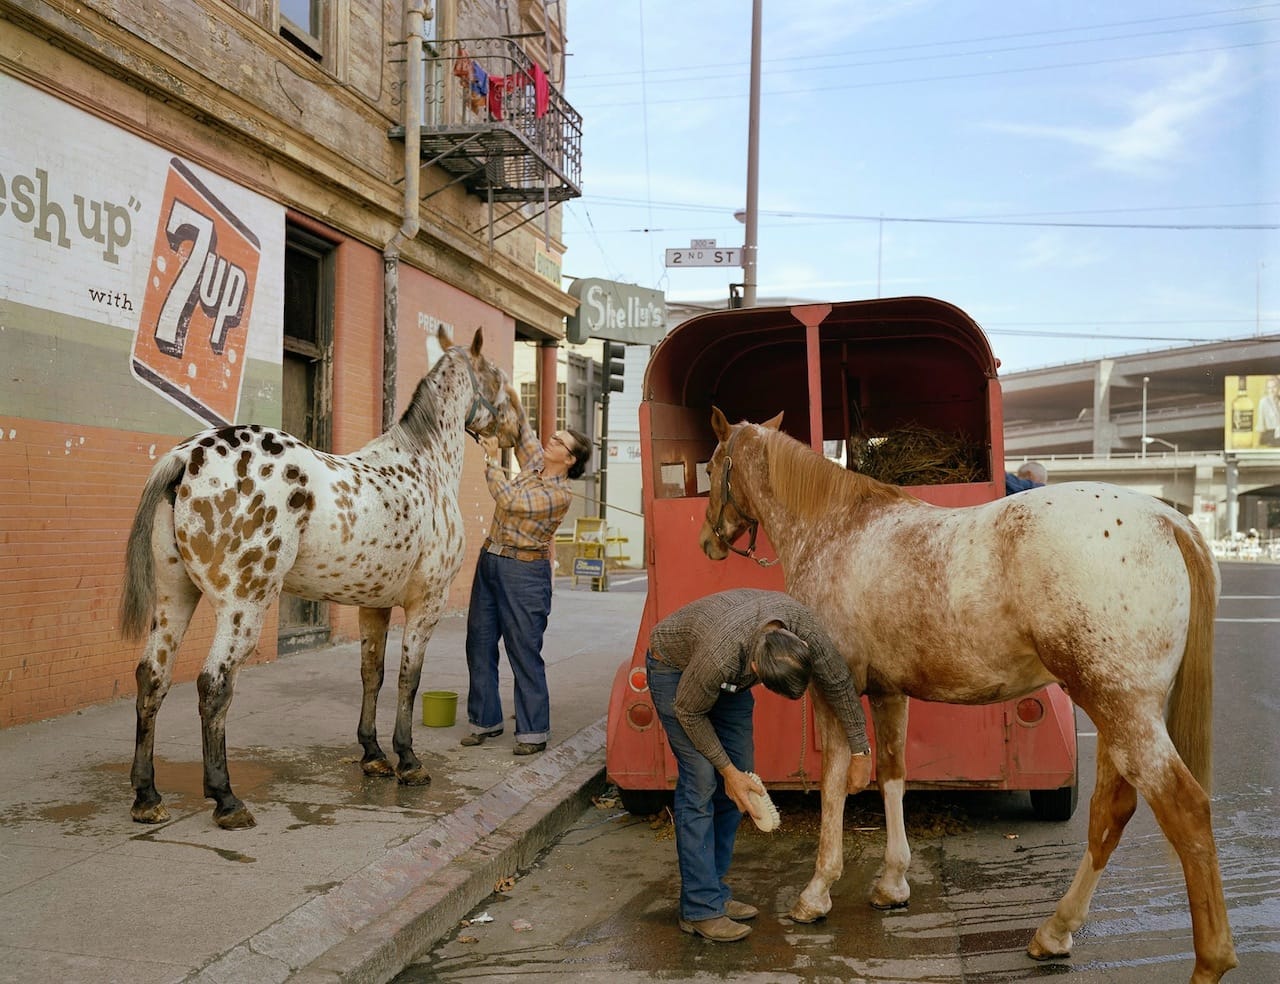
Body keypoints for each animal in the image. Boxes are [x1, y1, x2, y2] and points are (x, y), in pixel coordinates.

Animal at [118, 326, 522, 830]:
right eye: (498, 377)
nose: (518, 430)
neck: (425, 464)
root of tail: (187, 456)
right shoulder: (426, 605)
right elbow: (409, 678)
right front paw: (408, 761)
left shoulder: (374, 605)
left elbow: (373, 674)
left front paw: (373, 754)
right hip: (242, 606)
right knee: (214, 684)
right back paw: (226, 799)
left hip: (175, 597)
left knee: (152, 677)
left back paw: (147, 796)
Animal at [698, 408, 1237, 984]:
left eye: (710, 467)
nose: (709, 541)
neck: (837, 531)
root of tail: (1168, 519)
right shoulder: (890, 693)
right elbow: (892, 777)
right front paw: (893, 883)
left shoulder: (828, 686)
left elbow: (834, 785)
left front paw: (816, 893)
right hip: (1117, 712)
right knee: (1110, 811)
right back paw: (1054, 931)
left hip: (1120, 708)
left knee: (1184, 811)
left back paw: (1209, 961)